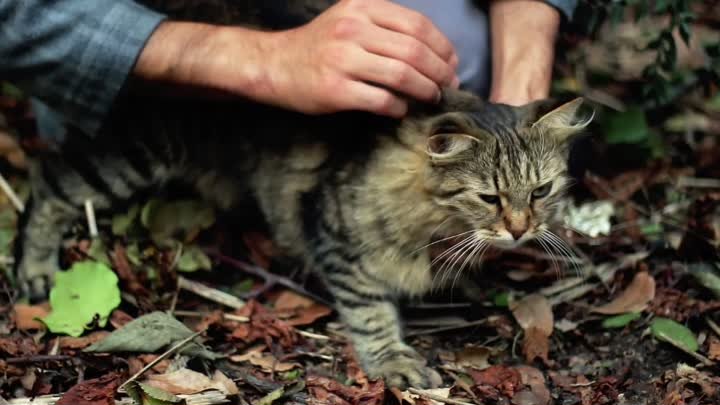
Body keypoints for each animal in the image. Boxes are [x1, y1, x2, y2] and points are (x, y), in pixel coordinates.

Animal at [15, 87, 592, 386]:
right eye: (489, 198)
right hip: (135, 152)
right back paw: (36, 269)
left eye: (541, 191)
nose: (519, 230)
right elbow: (371, 315)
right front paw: (395, 362)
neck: (436, 217)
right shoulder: (339, 241)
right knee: (50, 182)